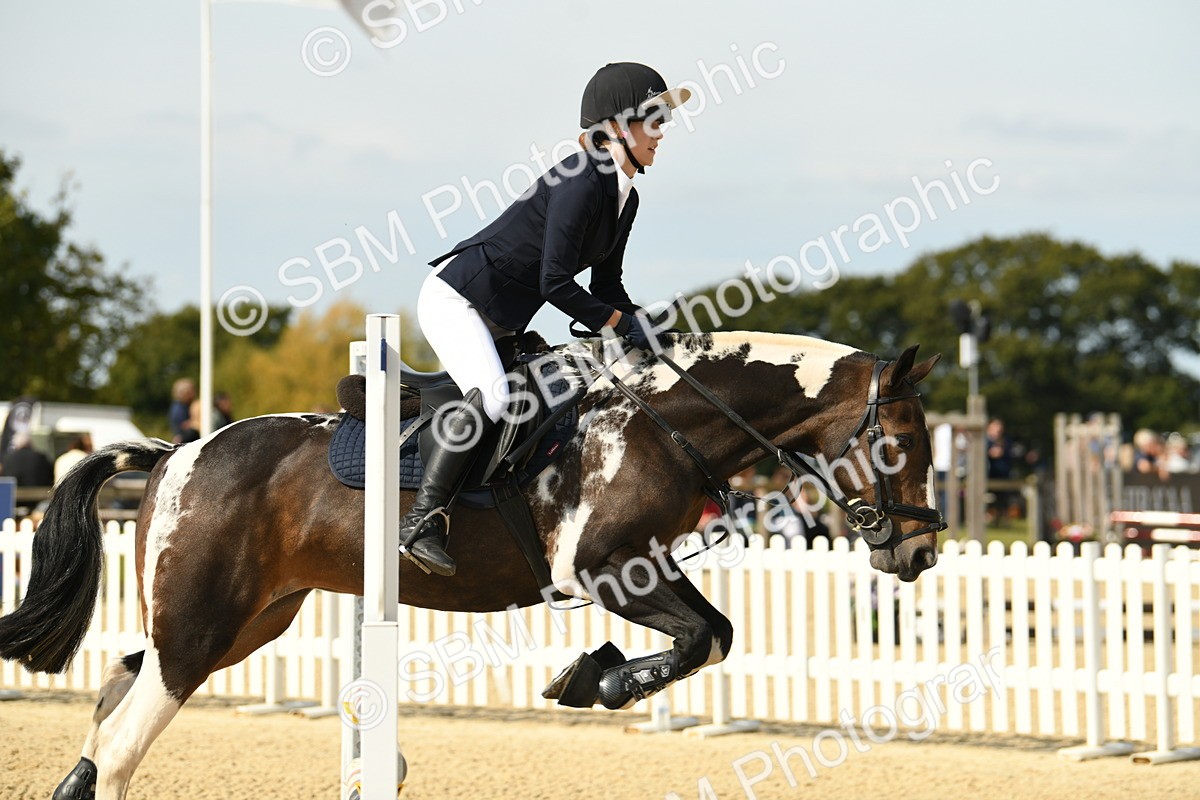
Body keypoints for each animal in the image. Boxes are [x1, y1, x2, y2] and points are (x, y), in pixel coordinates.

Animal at [0, 330, 942, 799]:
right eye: (900, 444)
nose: (921, 551)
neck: (663, 421)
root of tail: (175, 454)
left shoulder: (641, 567)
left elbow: (713, 634)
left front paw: (589, 676)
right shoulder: (605, 568)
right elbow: (705, 637)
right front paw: (594, 678)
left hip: (247, 621)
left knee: (117, 696)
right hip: (202, 627)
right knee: (123, 740)